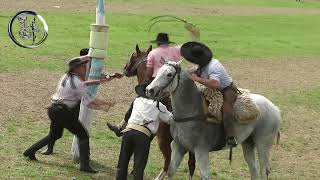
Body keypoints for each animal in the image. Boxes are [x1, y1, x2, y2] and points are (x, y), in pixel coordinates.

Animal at [146, 61, 282, 179]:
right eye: (158, 71)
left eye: (169, 74)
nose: (149, 90)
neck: (192, 110)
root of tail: (275, 108)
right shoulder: (178, 147)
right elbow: (170, 171)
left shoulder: (201, 151)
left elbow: (205, 176)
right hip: (248, 143)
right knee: (253, 168)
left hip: (262, 144)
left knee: (264, 169)